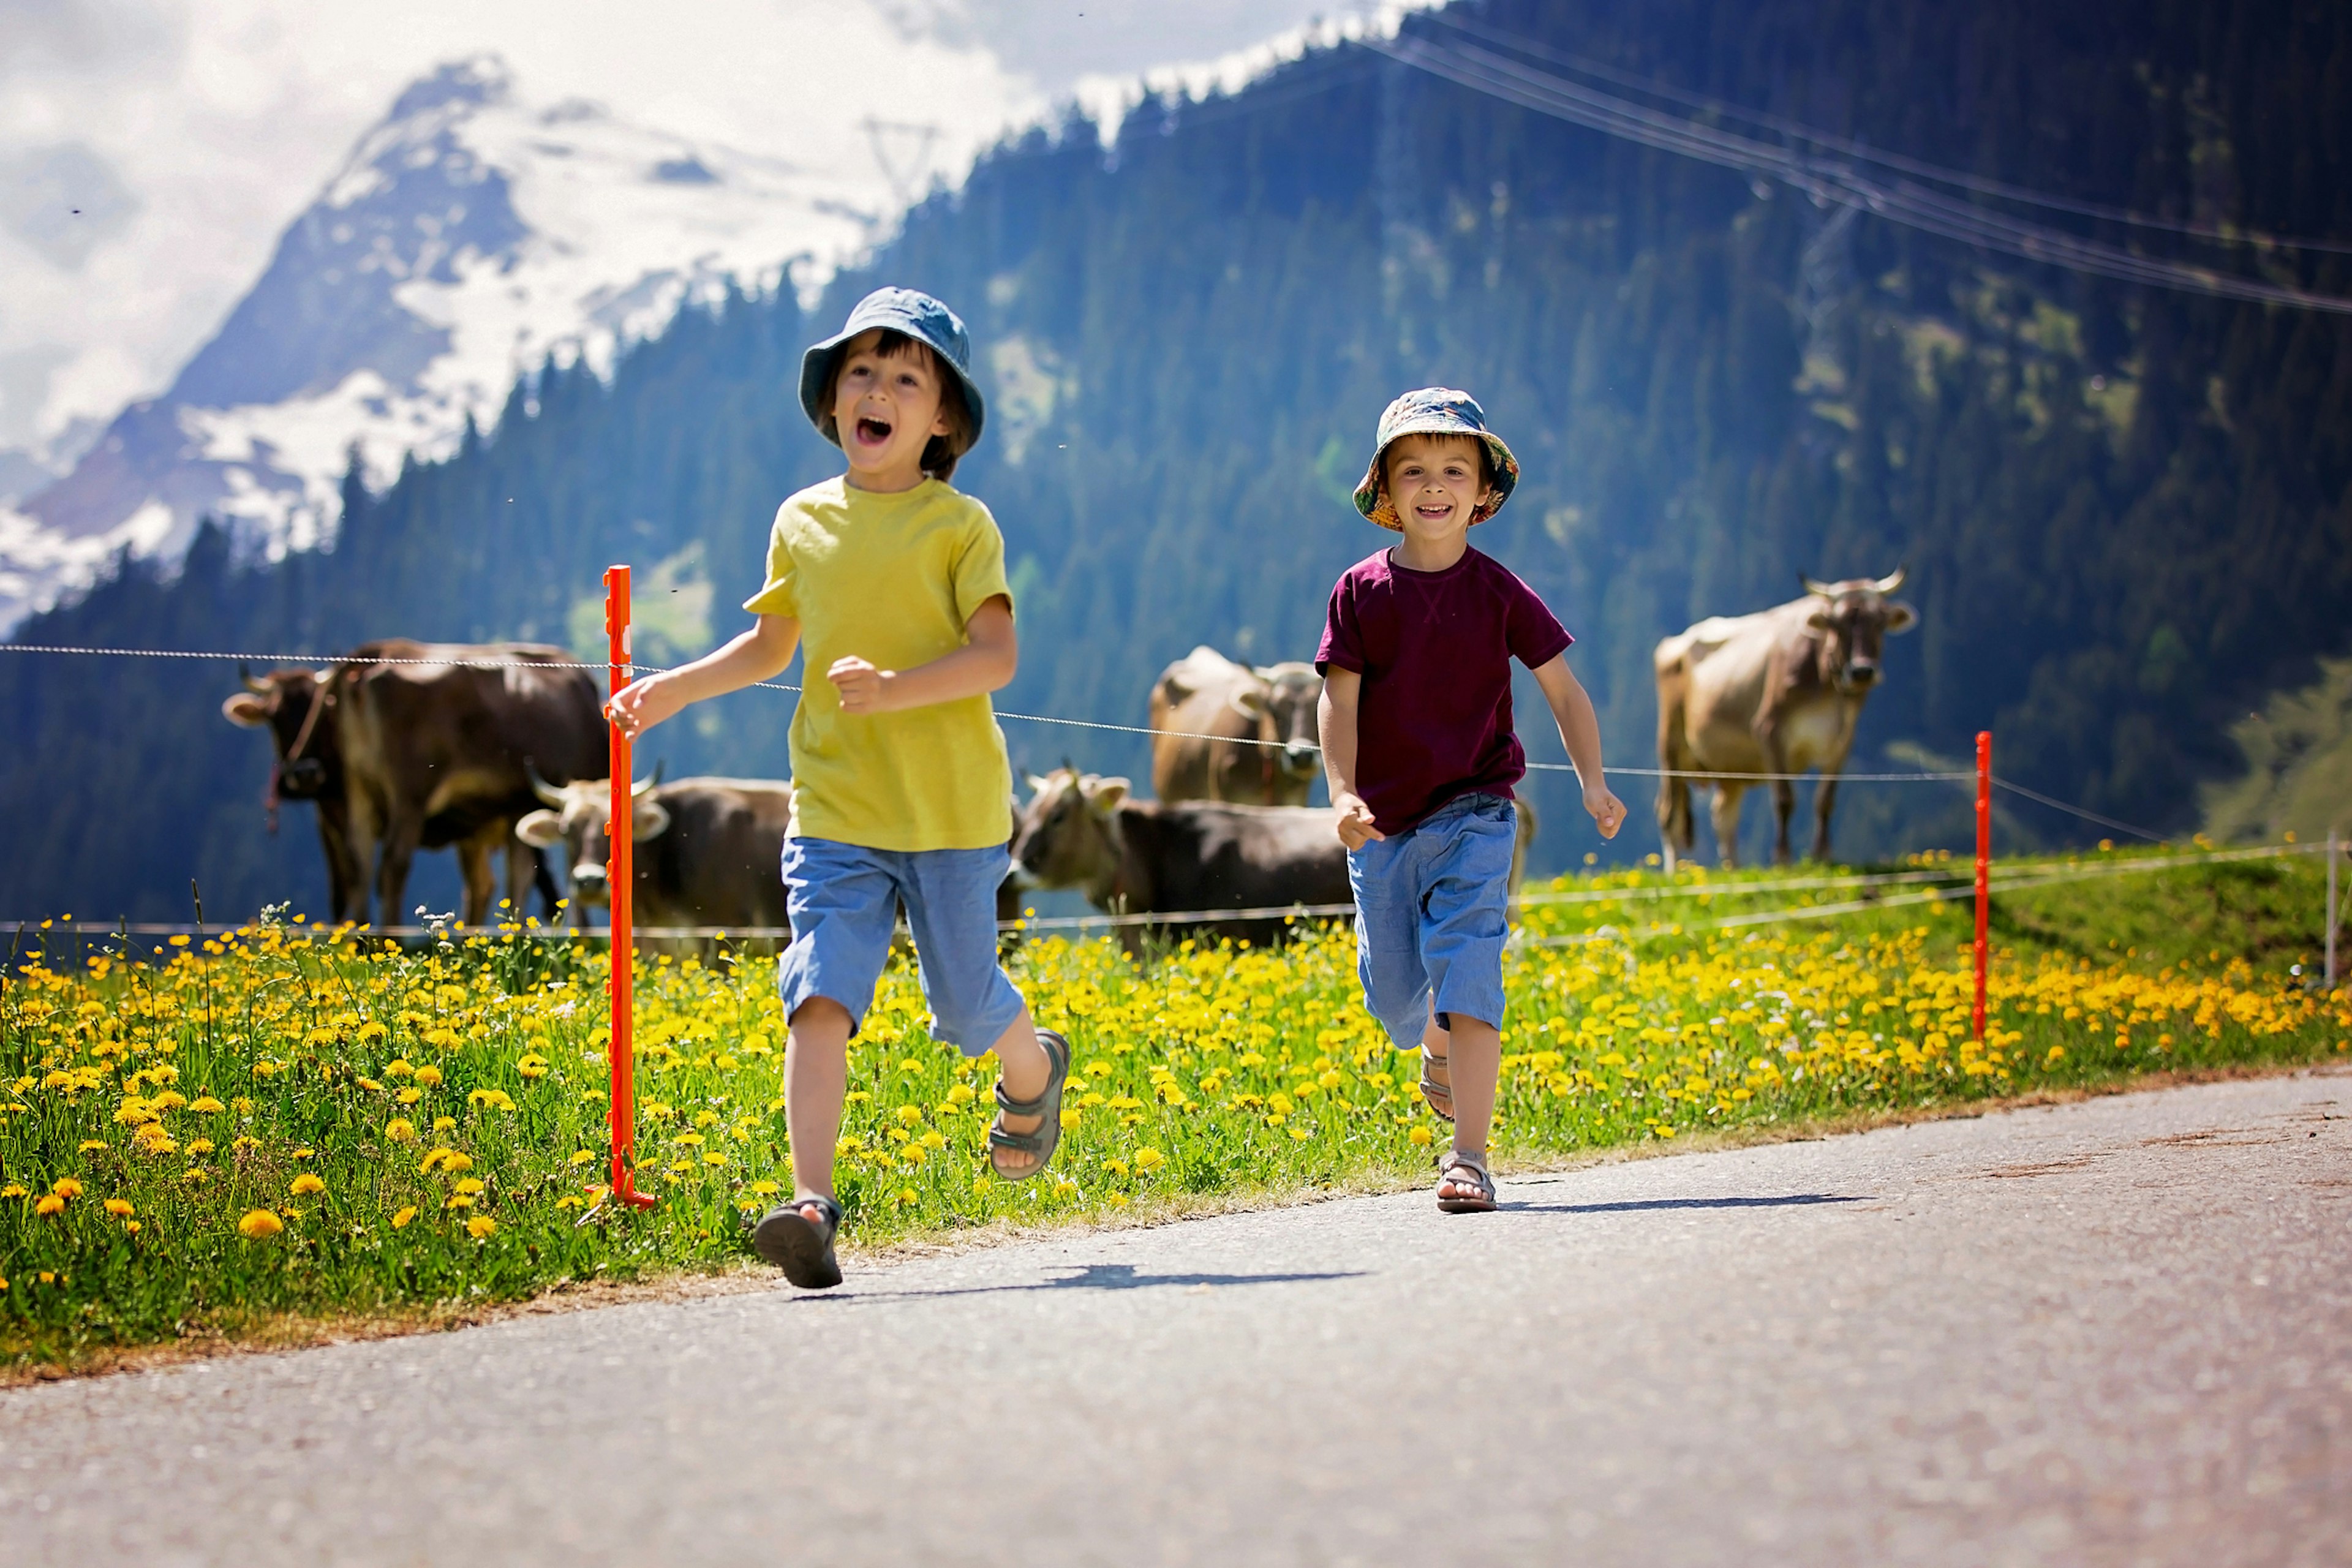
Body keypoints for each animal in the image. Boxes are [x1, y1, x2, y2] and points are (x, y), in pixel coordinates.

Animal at [1646, 573, 1919, 879]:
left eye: (1880, 622)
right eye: (1837, 624)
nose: (1862, 671)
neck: (1827, 687)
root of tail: (1675, 641)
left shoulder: (1843, 741)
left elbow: (1825, 800)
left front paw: (1823, 856)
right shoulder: (1770, 731)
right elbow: (1784, 799)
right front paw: (1783, 859)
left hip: (1730, 765)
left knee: (1723, 814)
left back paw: (1734, 870)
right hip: (1671, 746)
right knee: (1669, 812)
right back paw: (1675, 873)